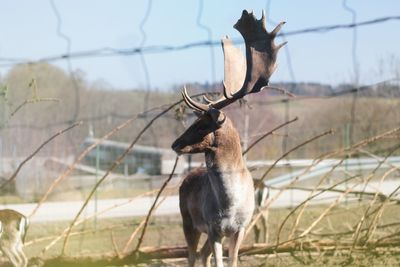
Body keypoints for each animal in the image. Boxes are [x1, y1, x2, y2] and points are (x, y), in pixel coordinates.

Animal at [170, 9, 286, 266]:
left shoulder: (239, 228)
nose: (175, 144)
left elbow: (231, 261)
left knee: (201, 256)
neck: (229, 207)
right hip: (187, 220)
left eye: (203, 124)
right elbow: (218, 261)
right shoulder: (214, 228)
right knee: (192, 256)